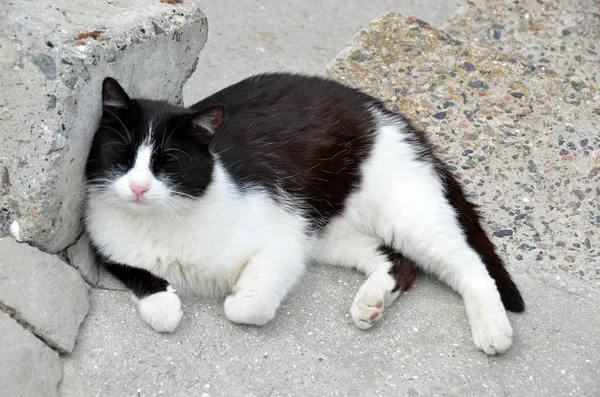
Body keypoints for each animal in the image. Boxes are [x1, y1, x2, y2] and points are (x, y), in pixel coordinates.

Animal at [85, 72, 524, 354]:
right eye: (122, 155)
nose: (138, 187)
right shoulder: (104, 241)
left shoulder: (282, 237)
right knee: (399, 261)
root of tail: (391, 116)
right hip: (328, 232)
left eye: (168, 163)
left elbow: (248, 308)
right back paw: (372, 301)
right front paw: (162, 305)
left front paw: (234, 296)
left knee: (469, 264)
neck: (162, 219)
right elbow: (132, 270)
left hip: (403, 214)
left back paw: (493, 328)